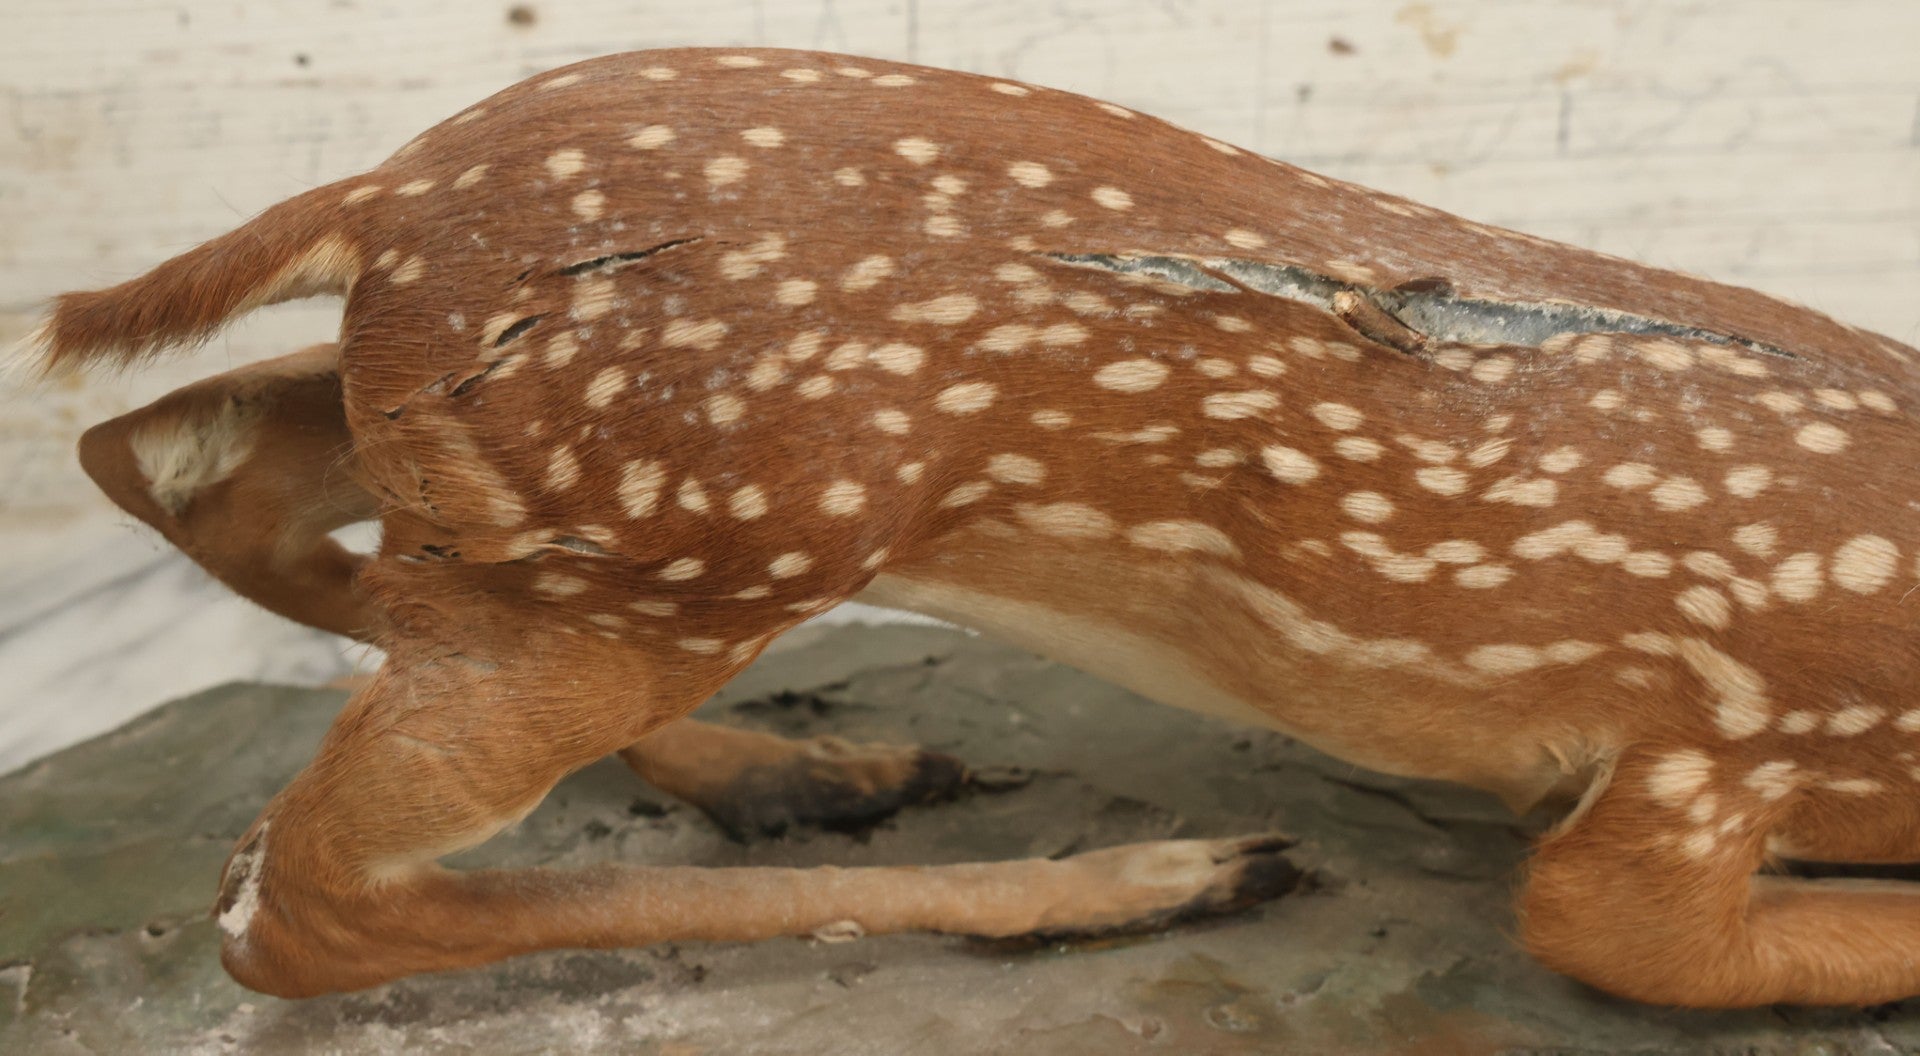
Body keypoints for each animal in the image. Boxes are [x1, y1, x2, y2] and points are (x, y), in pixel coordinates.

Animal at [17, 46, 1920, 1008]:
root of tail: (375, 192)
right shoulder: (1712, 749)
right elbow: (1621, 935)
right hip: (681, 553)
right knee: (288, 907)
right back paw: (1141, 876)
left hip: (473, 482)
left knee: (170, 458)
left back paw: (813, 773)